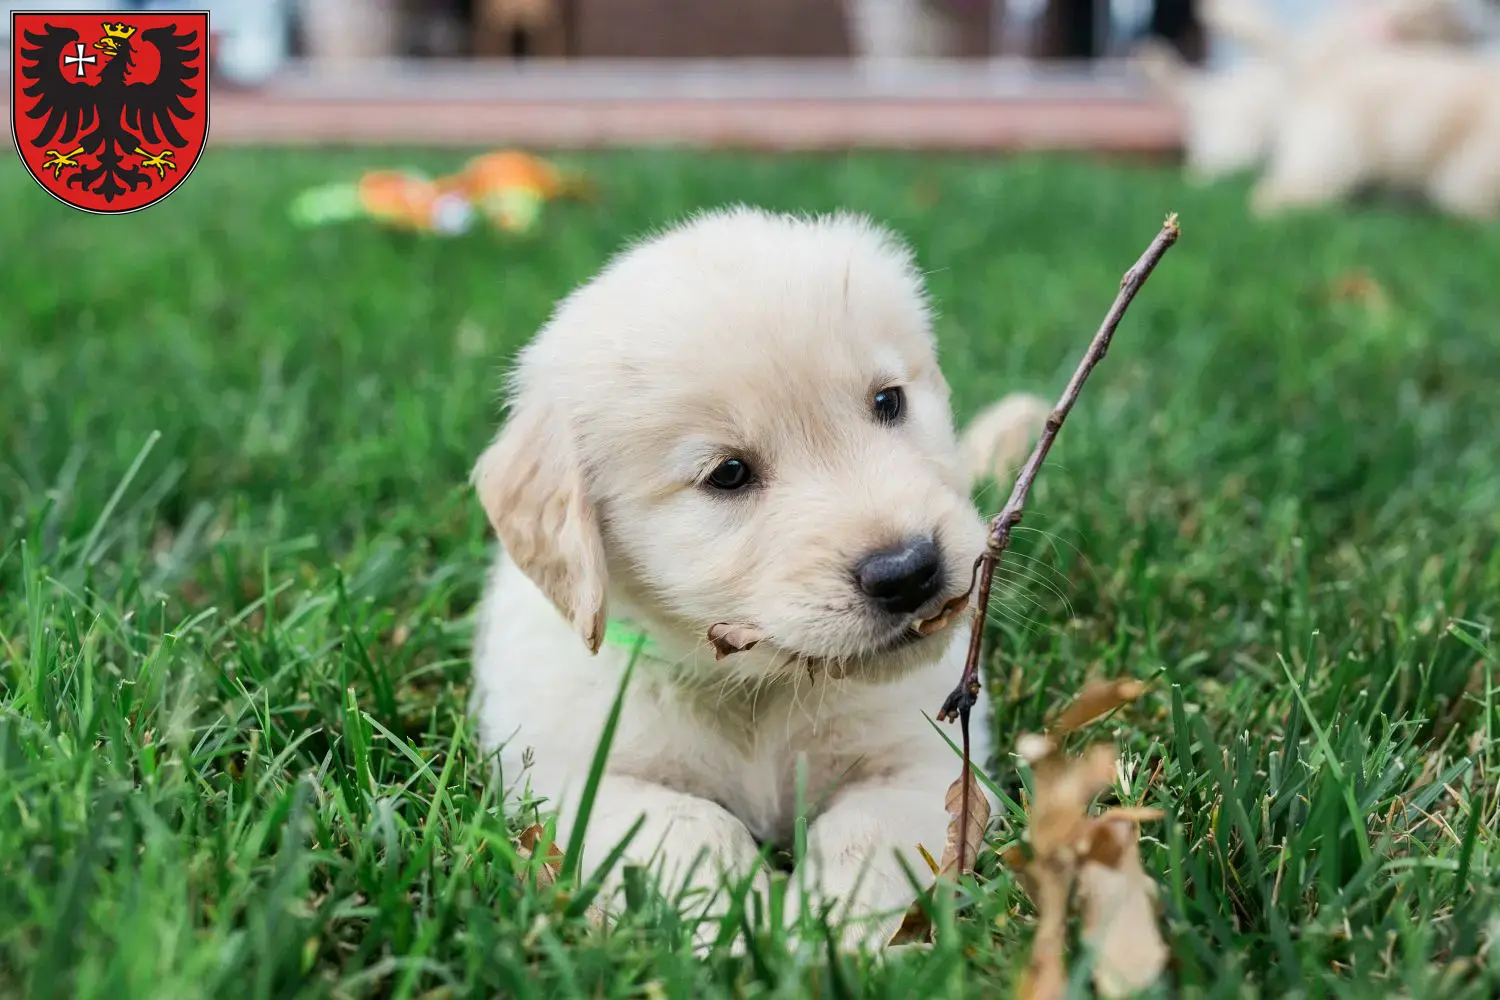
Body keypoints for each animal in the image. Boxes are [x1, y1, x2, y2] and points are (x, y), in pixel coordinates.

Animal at [465, 206, 1044, 953]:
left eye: (888, 402)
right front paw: (738, 934)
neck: (756, 689)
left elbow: (864, 833)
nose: (909, 569)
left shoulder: (926, 763)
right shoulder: (577, 783)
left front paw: (826, 936)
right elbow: (688, 828)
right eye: (729, 474)